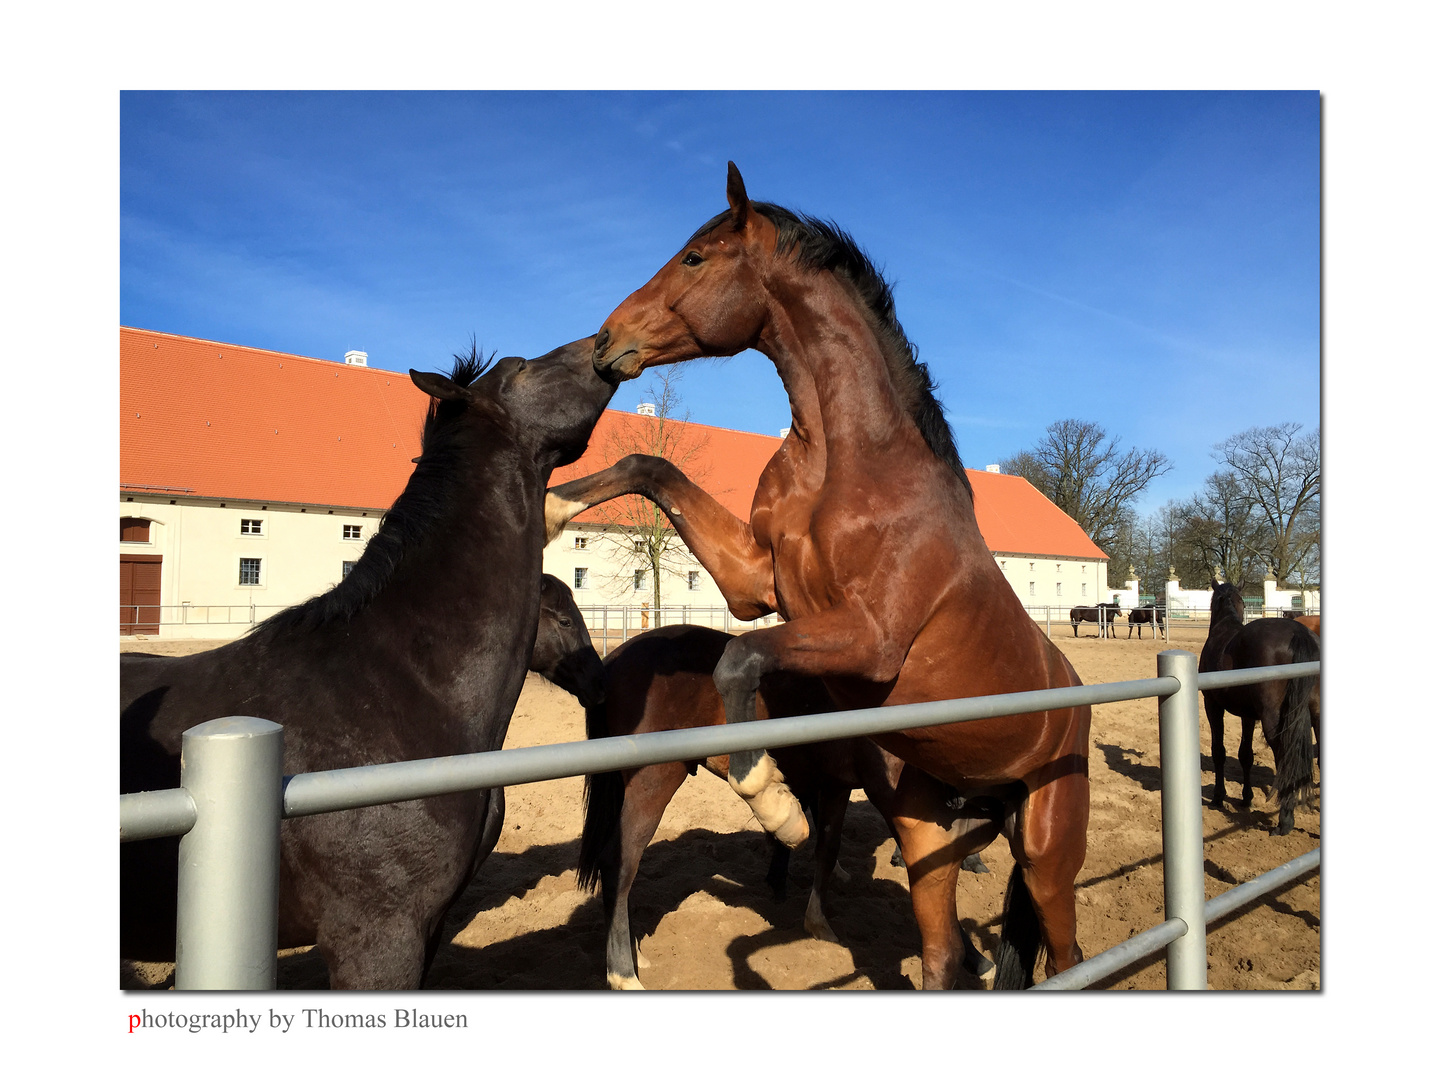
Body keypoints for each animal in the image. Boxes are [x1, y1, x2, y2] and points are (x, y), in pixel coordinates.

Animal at [573, 624, 1002, 990]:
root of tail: (615, 662)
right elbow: (929, 874)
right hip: (654, 782)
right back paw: (623, 972)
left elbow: (827, 851)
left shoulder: (835, 787)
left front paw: (817, 923)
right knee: (620, 863)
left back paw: (634, 953)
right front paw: (977, 959)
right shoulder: (888, 797)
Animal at [1198, 584, 1319, 835]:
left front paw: (1218, 797)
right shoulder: (1247, 715)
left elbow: (1218, 751)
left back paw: (1285, 820)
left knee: (1284, 754)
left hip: (1273, 720)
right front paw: (1246, 798)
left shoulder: (1212, 705)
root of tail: (1299, 633)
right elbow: (1245, 755)